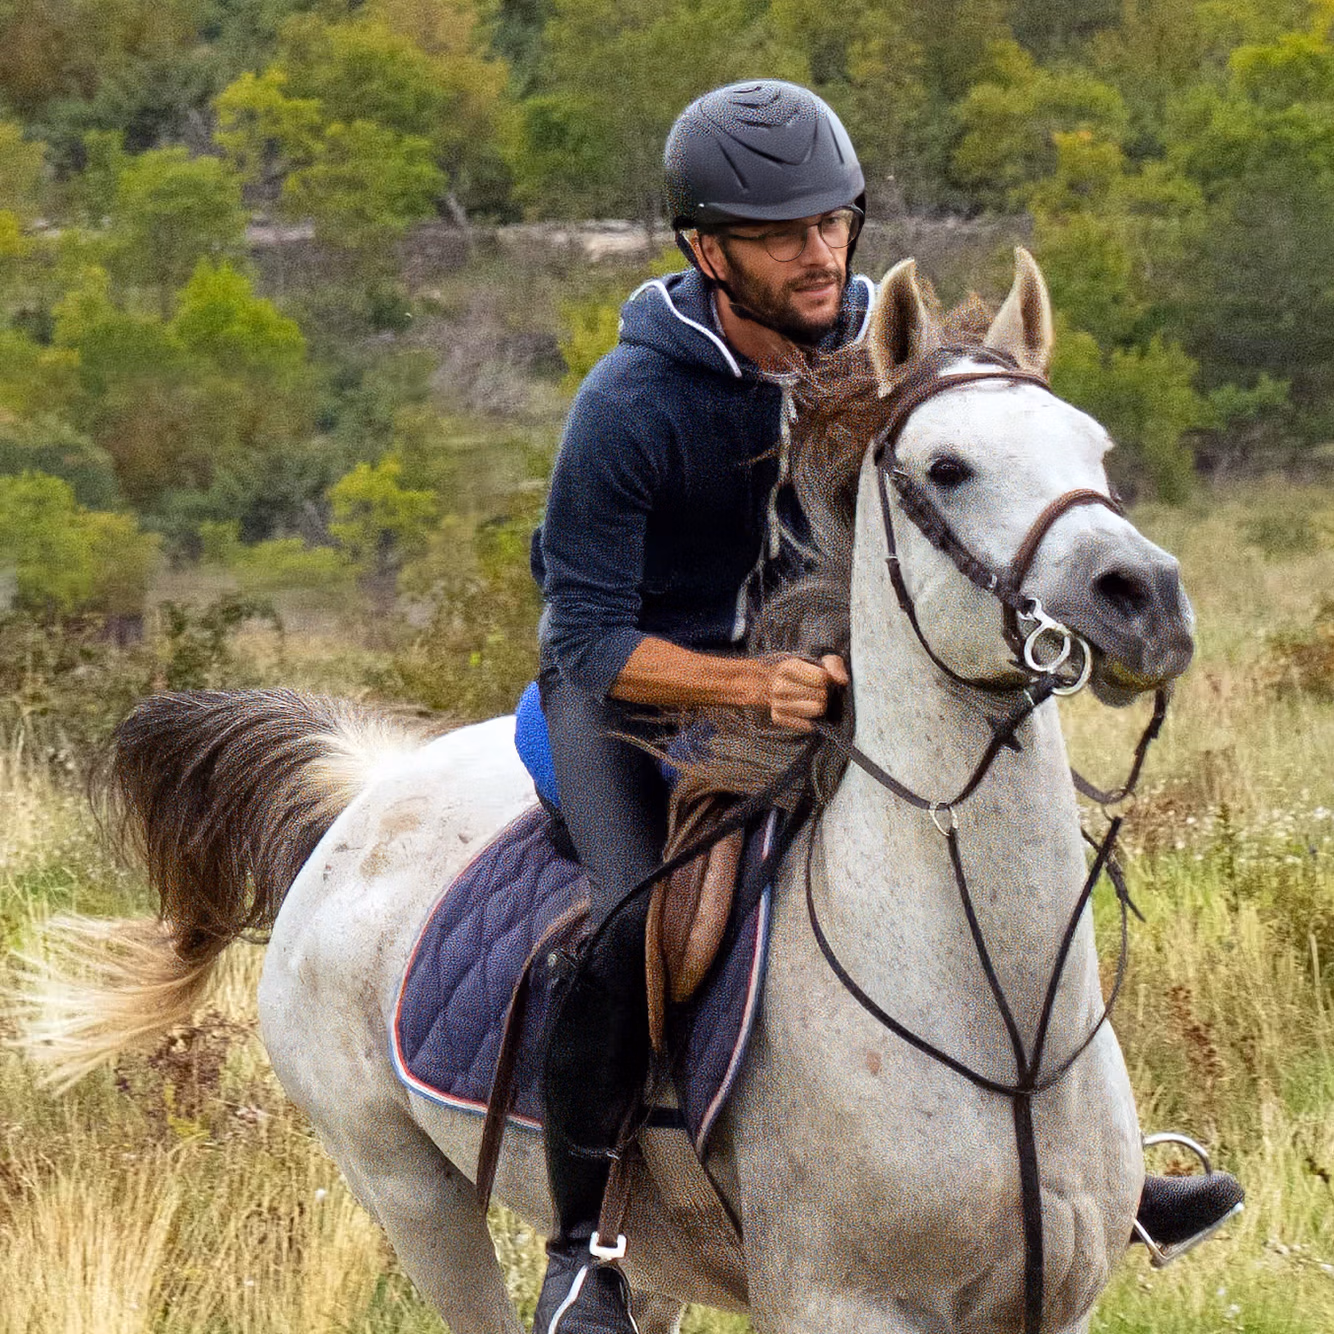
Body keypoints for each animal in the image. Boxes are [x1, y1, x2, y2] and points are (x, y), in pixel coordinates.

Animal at [18, 249, 1195, 1334]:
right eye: (948, 467)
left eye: (1093, 448)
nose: (1143, 600)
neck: (1005, 1037)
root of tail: (367, 791)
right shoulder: (838, 1302)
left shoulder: (1050, 1304)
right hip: (412, 1194)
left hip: (652, 1254)